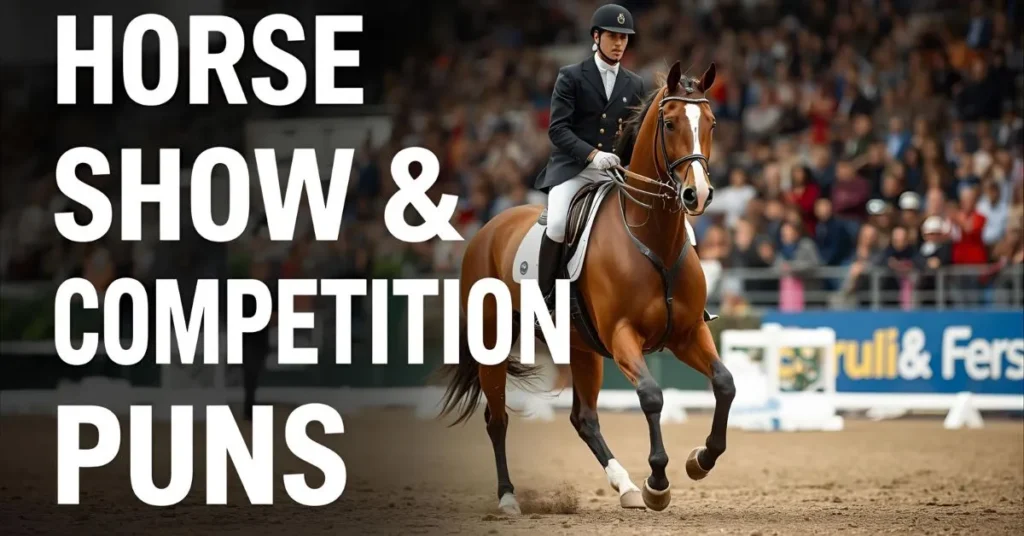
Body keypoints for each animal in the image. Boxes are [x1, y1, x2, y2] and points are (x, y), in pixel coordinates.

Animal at [437, 60, 736, 514]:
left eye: (712, 123)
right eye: (669, 123)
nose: (696, 194)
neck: (653, 238)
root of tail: (486, 231)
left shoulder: (687, 333)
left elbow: (724, 383)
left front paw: (700, 460)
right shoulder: (622, 336)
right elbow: (651, 395)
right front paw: (658, 482)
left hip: (580, 347)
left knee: (584, 419)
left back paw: (625, 487)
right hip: (494, 343)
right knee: (497, 419)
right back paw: (508, 498)